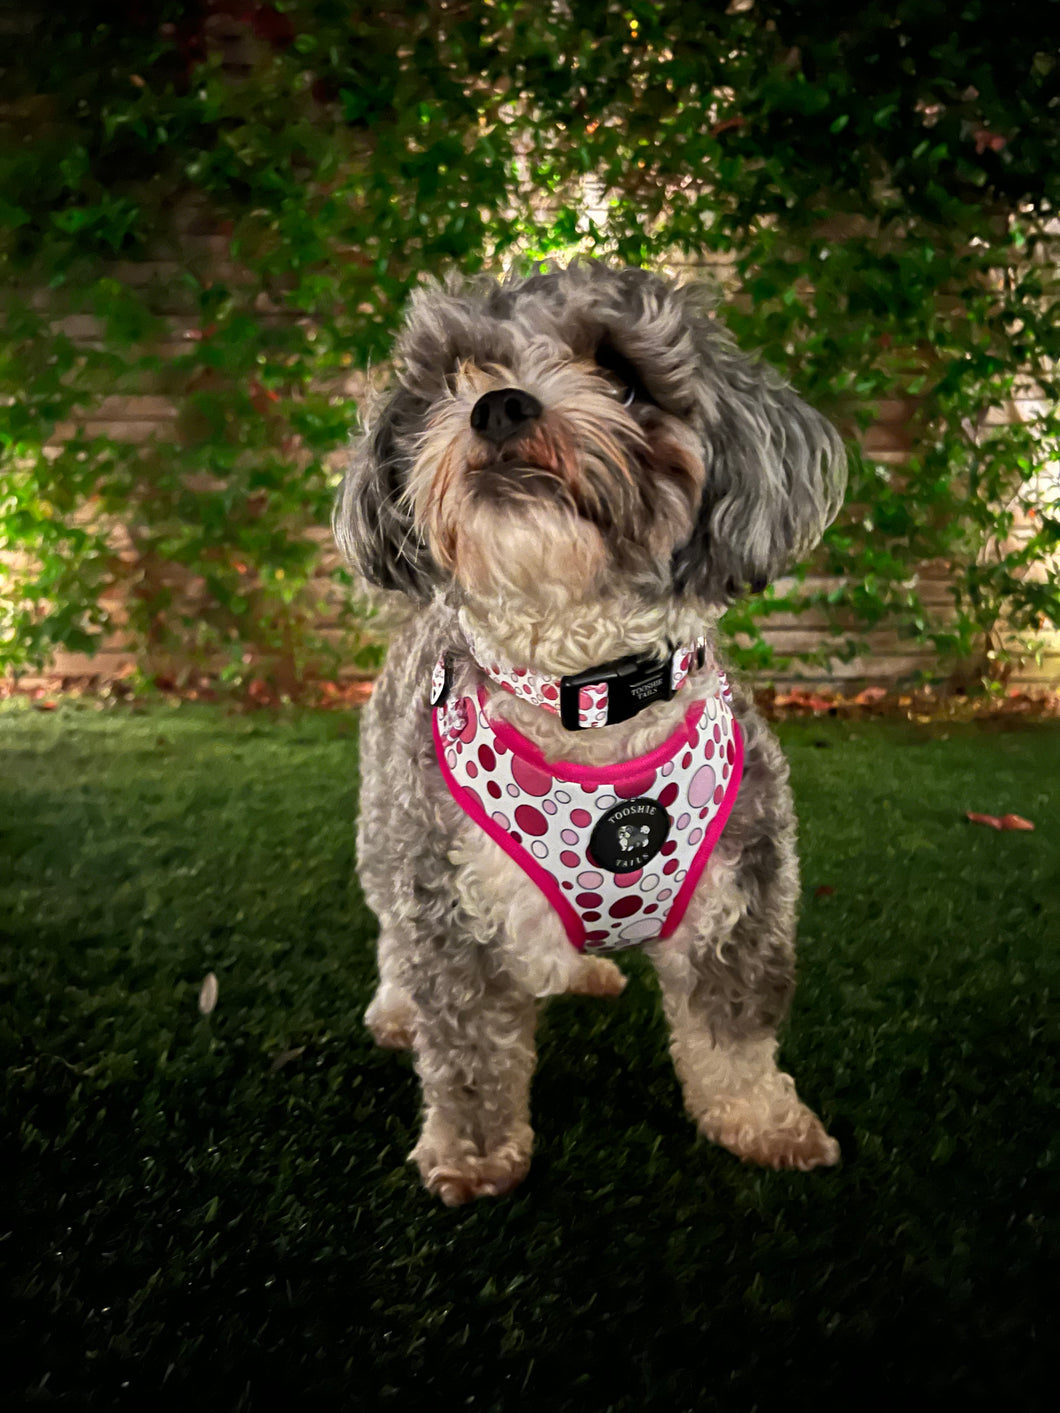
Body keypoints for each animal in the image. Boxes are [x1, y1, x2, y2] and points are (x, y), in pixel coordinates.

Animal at [336, 257, 853, 1203]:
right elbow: (469, 1055)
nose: (498, 403)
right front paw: (473, 1155)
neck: (589, 690)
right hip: (385, 827)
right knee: (391, 931)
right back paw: (396, 1009)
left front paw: (763, 1122)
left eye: (621, 374)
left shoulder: (744, 895)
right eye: (457, 372)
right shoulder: (451, 905)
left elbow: (734, 1034)